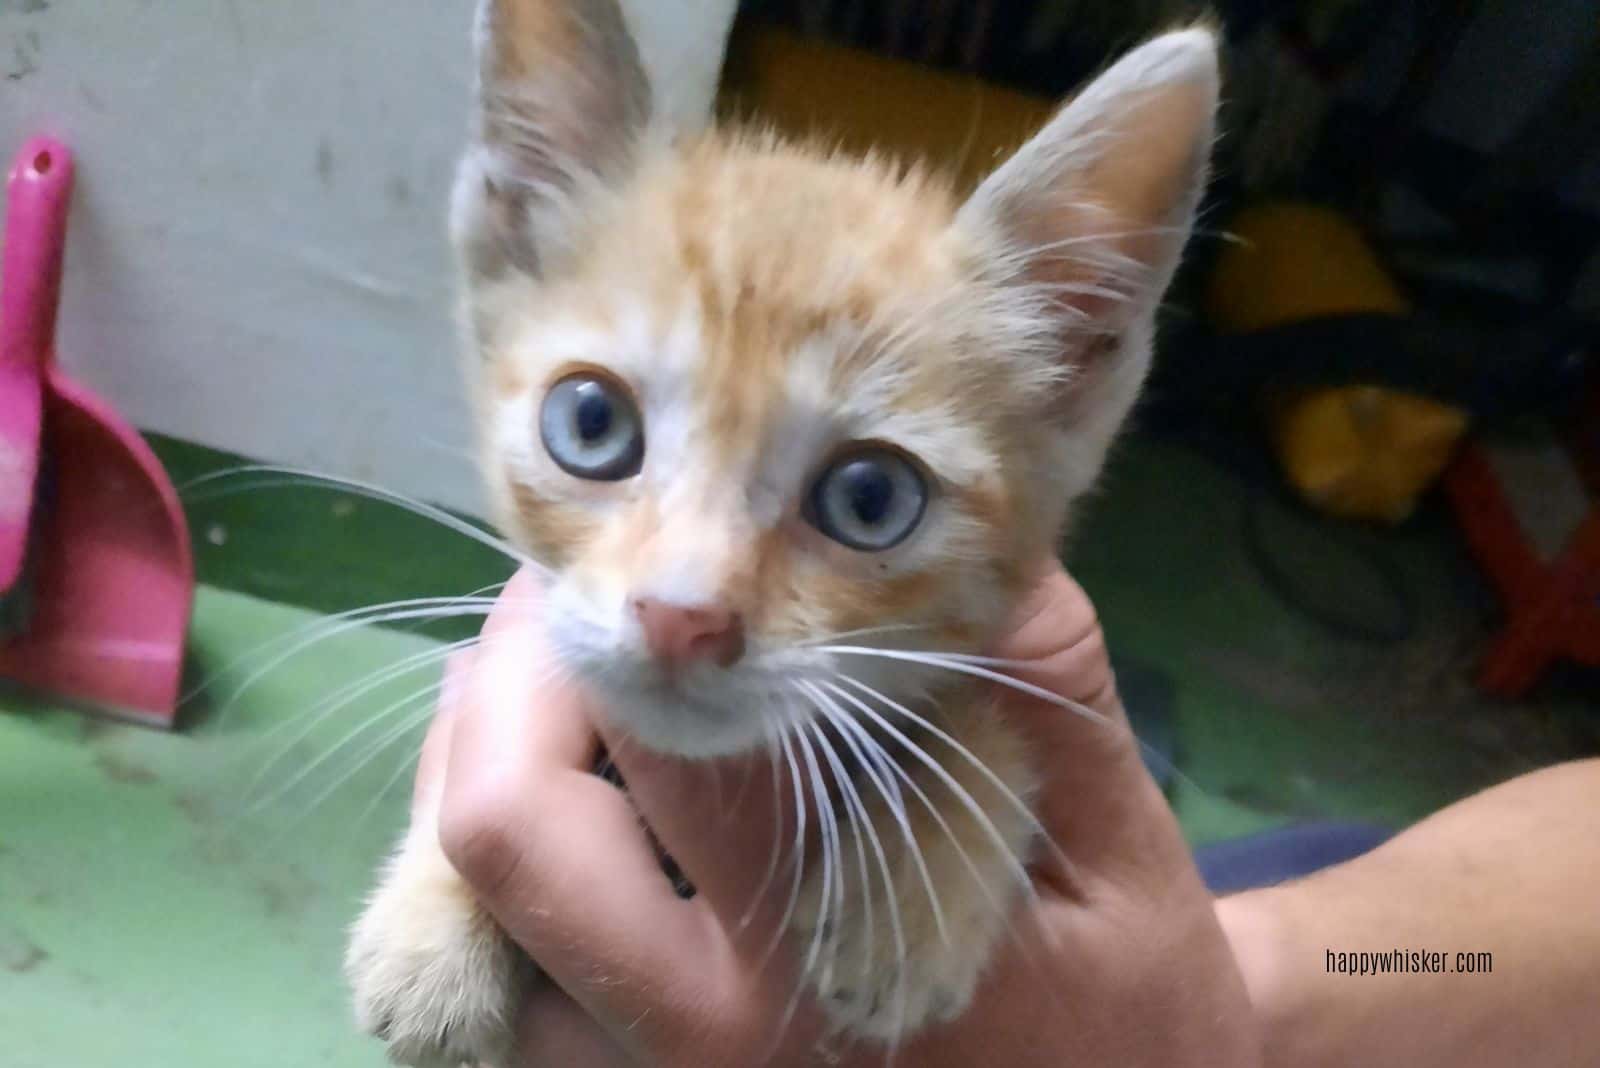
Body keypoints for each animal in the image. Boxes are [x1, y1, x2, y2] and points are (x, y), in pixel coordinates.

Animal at [350, 4, 1216, 1061]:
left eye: (871, 499)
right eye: (591, 423)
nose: (682, 616)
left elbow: (986, 717)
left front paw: (913, 887)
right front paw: (436, 914)